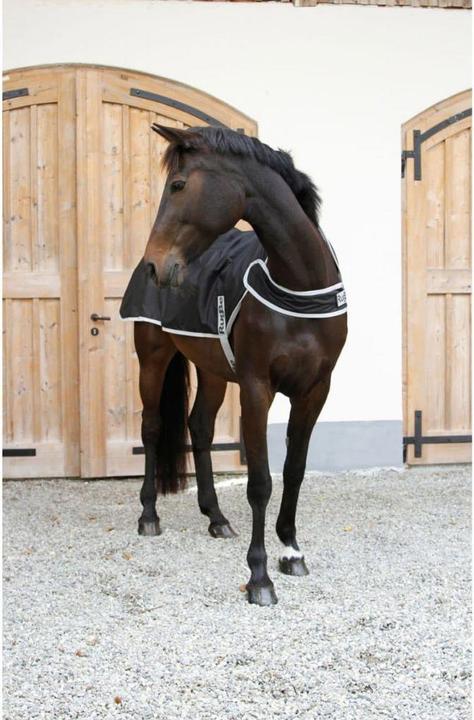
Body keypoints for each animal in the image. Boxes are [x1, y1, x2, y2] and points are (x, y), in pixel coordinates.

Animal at [127, 125, 347, 606]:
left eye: (178, 185)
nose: (155, 265)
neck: (298, 284)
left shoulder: (314, 391)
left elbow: (294, 471)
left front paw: (291, 552)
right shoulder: (256, 388)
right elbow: (260, 481)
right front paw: (259, 576)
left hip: (211, 370)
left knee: (200, 428)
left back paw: (216, 517)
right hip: (152, 359)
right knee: (152, 428)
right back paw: (149, 515)